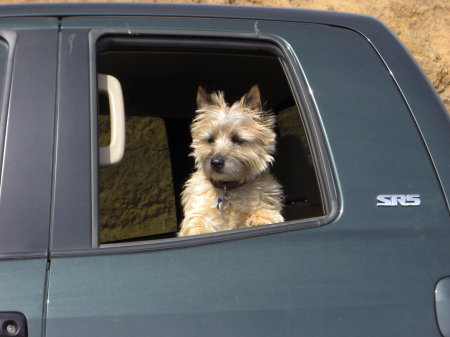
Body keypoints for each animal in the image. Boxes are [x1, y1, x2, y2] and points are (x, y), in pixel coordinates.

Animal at [178, 85, 284, 235]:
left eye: (238, 140)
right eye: (210, 139)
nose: (216, 162)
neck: (228, 188)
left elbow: (264, 210)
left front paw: (260, 219)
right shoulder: (198, 213)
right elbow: (197, 225)